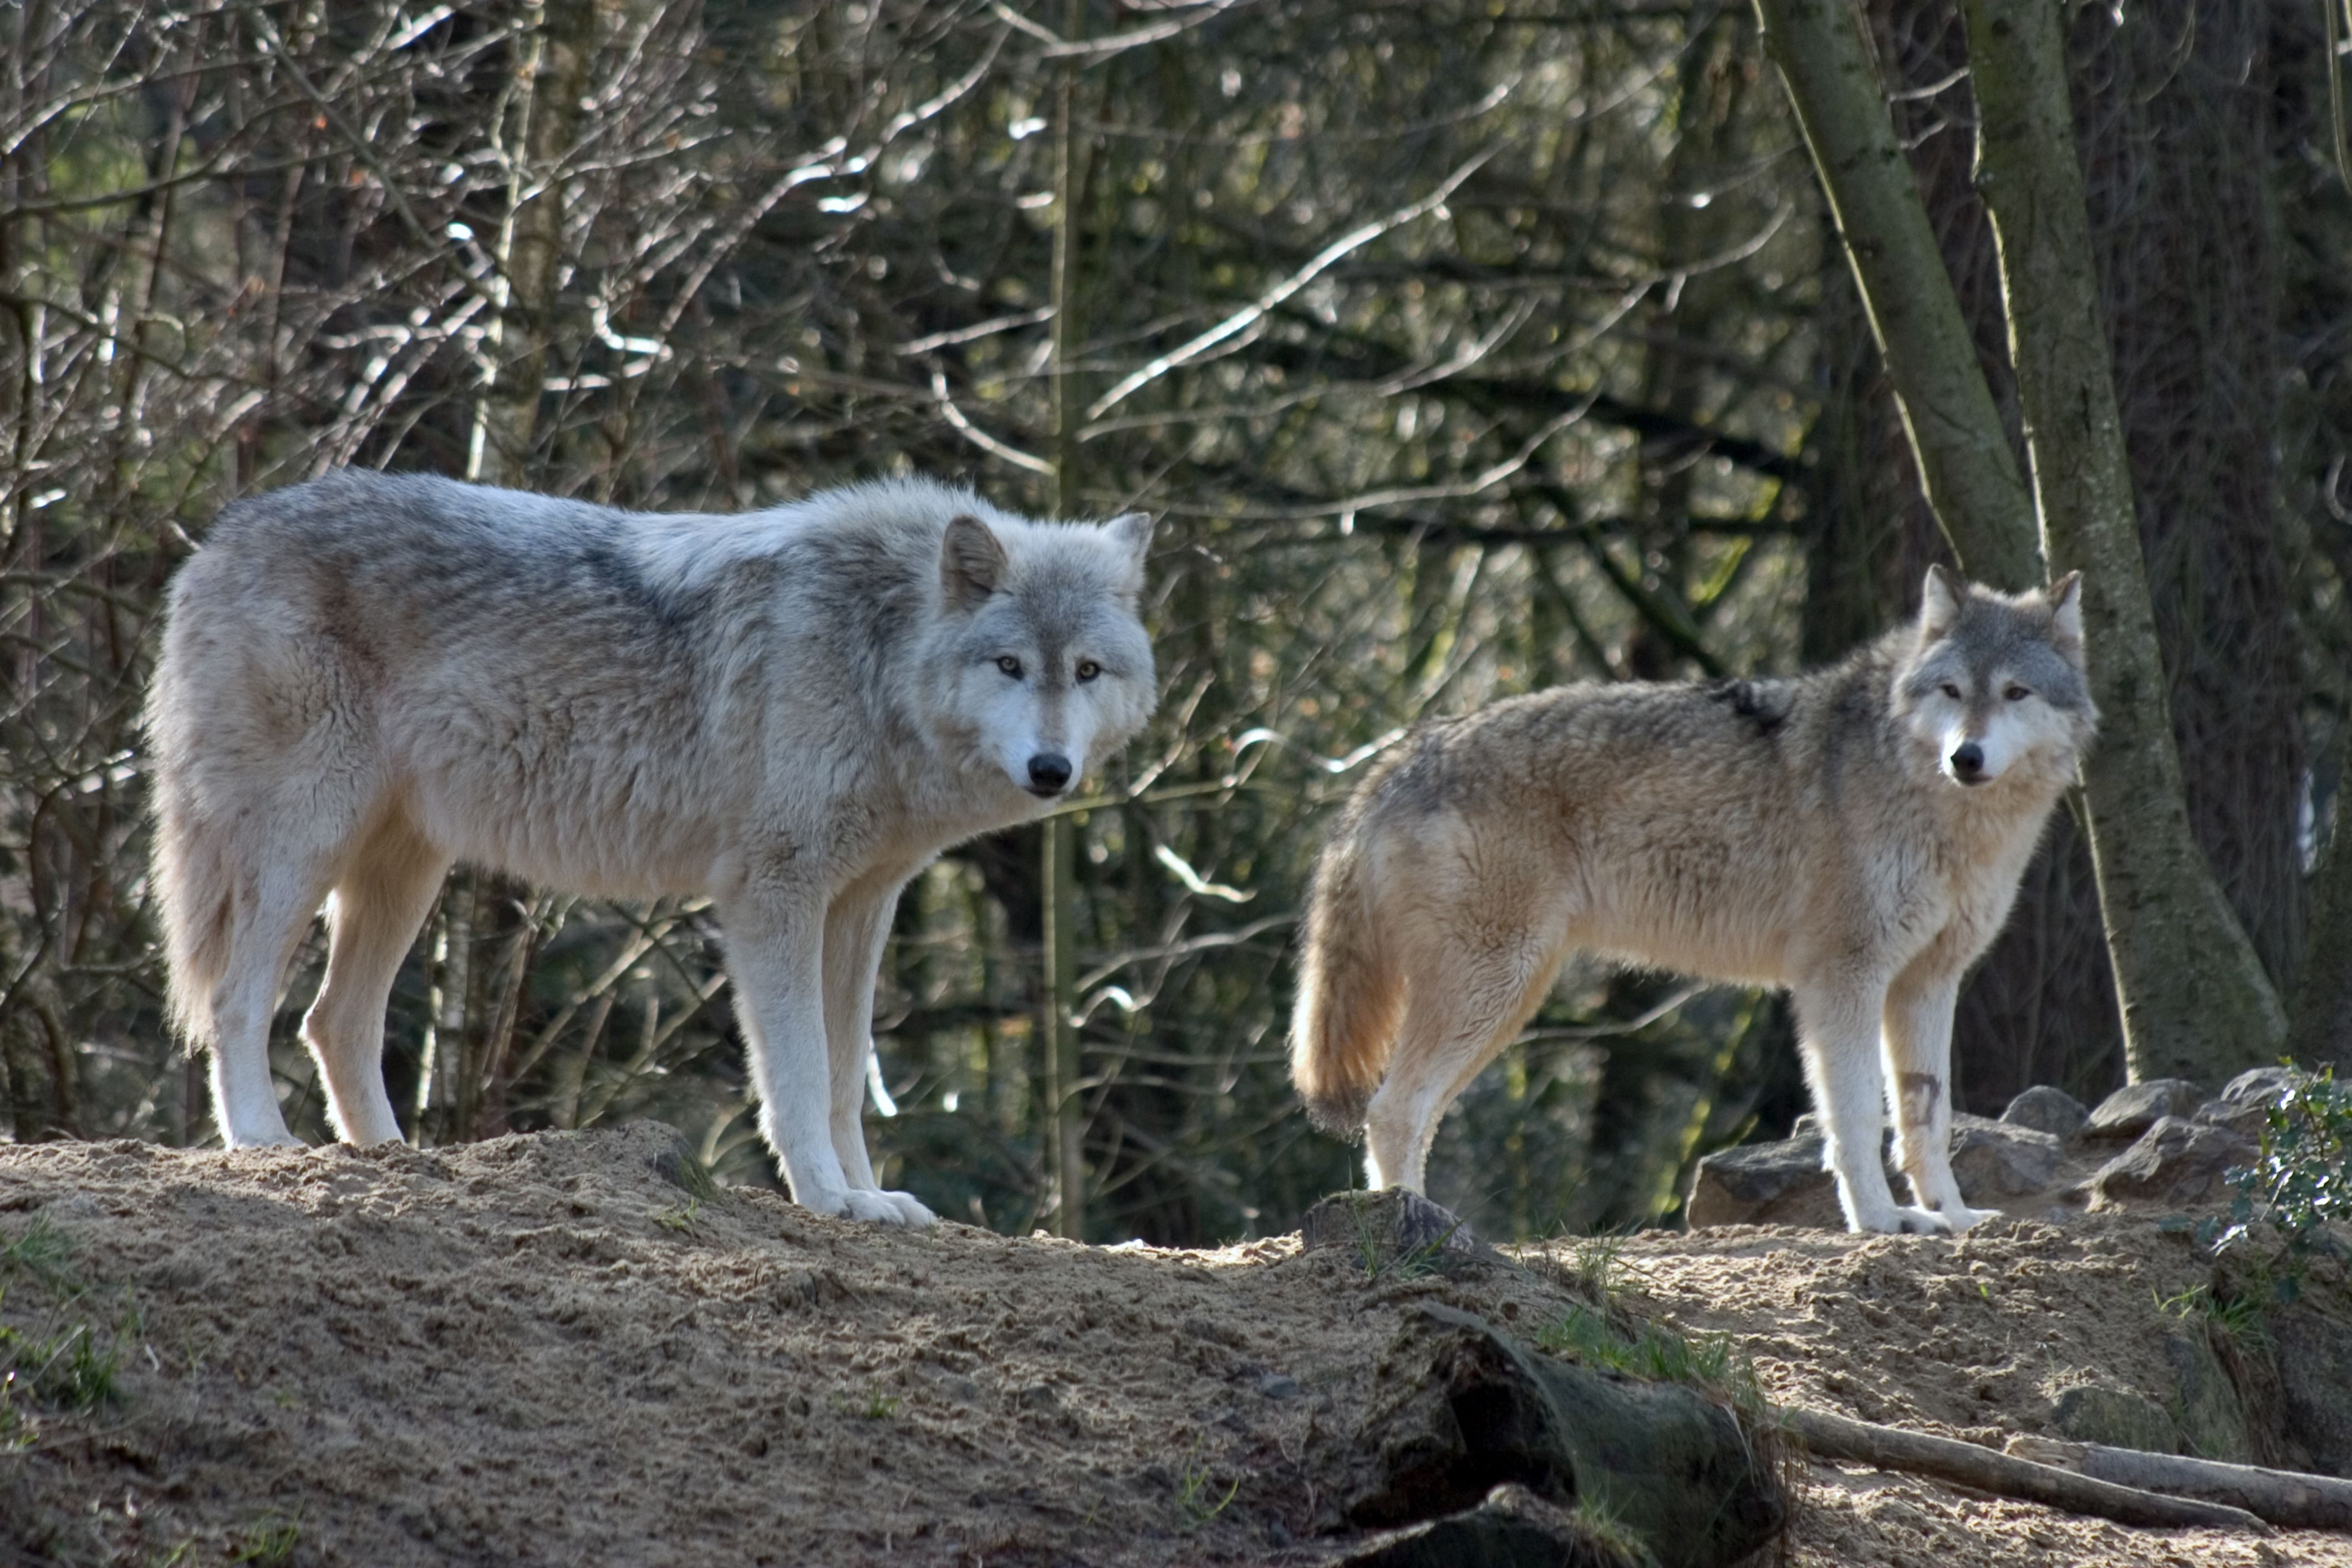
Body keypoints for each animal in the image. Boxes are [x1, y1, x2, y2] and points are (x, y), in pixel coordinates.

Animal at [149, 470, 1155, 1227]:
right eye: (1010, 665)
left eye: (1087, 671)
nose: (1052, 768)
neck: (879, 652)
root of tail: (217, 538)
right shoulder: (773, 898)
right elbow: (799, 1069)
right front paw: (826, 1196)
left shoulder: (864, 906)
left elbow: (844, 1073)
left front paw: (869, 1196)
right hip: (304, 847)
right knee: (237, 999)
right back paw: (263, 1142)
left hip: (406, 873)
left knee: (333, 1020)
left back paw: (394, 1157)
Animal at [1291, 567, 2093, 1235]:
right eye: (1952, 691)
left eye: (2015, 693)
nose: (1965, 757)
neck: (1942, 810)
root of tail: (1399, 759)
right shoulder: (1842, 978)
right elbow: (1859, 1116)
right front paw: (1879, 1221)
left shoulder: (1927, 982)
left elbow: (1927, 1116)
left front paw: (1949, 1216)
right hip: (1492, 990)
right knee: (1392, 1110)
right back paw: (1415, 1222)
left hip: (1505, 1003)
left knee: (1410, 1111)